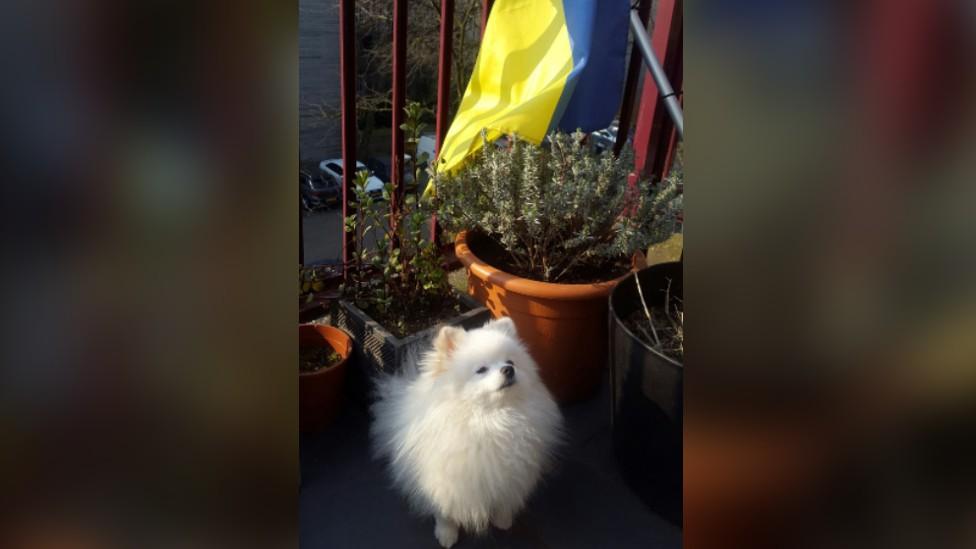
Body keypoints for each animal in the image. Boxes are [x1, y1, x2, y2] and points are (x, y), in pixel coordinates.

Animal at [368, 314, 564, 544]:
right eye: (481, 370)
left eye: (510, 362)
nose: (508, 370)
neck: (490, 419)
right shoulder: (444, 481)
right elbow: (444, 512)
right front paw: (446, 534)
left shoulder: (510, 475)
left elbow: (504, 500)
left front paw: (503, 520)